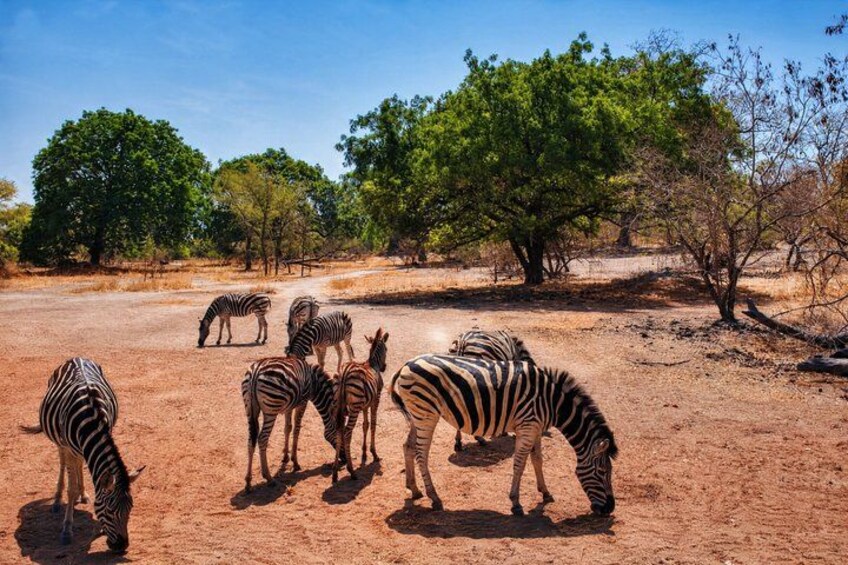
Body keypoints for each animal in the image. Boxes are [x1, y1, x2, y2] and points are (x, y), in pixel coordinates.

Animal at [19, 358, 145, 552]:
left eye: (130, 509)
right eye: (110, 510)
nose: (121, 546)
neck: (91, 416)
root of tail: (76, 358)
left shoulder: (99, 437)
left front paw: (85, 496)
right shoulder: (70, 447)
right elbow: (71, 490)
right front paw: (66, 529)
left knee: (78, 463)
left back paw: (83, 493)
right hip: (61, 442)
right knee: (63, 461)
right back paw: (57, 500)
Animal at [242, 356, 337, 493]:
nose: (343, 460)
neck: (314, 384)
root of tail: (256, 370)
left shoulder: (289, 406)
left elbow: (288, 428)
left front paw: (286, 456)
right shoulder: (303, 402)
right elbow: (297, 429)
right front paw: (295, 462)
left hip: (250, 409)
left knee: (251, 440)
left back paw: (248, 482)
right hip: (270, 410)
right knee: (262, 439)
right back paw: (269, 478)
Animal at [332, 328, 389, 483]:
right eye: (387, 349)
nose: (384, 368)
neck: (373, 364)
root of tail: (345, 372)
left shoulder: (365, 405)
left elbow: (365, 425)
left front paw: (364, 454)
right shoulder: (376, 399)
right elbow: (373, 424)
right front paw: (374, 453)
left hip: (342, 406)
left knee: (339, 431)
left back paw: (335, 473)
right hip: (354, 408)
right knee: (347, 433)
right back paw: (351, 471)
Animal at [390, 354, 617, 516]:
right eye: (602, 472)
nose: (610, 509)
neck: (552, 402)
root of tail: (407, 363)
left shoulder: (535, 428)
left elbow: (537, 460)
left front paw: (545, 493)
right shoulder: (527, 426)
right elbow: (520, 464)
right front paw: (516, 503)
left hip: (417, 415)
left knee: (408, 447)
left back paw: (414, 489)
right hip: (426, 414)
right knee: (421, 454)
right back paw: (434, 498)